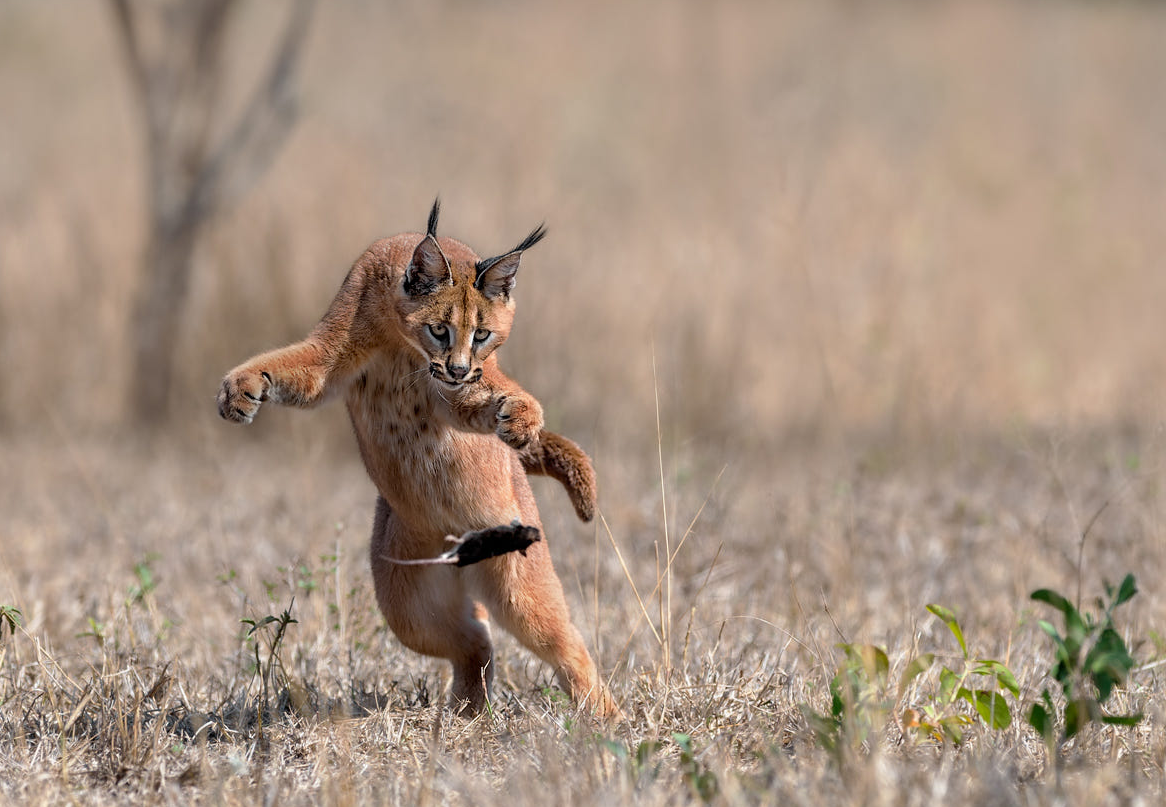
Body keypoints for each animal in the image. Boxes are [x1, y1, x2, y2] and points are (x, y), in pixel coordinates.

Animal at [219, 202, 620, 718]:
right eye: (439, 328)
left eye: (483, 334)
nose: (458, 367)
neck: (398, 336)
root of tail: (462, 546)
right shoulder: (329, 356)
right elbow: (290, 366)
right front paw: (240, 388)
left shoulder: (457, 394)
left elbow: (486, 396)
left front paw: (522, 416)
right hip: (407, 605)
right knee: (476, 640)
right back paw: (467, 714)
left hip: (519, 583)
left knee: (563, 641)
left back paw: (606, 718)